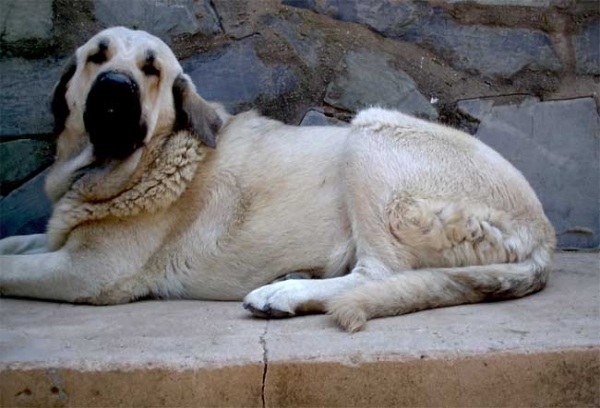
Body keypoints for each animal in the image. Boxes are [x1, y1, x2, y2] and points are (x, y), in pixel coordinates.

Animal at [0, 26, 556, 332]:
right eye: (97, 56)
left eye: (151, 69)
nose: (115, 87)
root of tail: (543, 234)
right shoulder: (60, 244)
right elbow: (11, 244)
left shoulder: (86, 271)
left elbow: (9, 269)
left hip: (370, 133)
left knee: (379, 274)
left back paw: (282, 293)